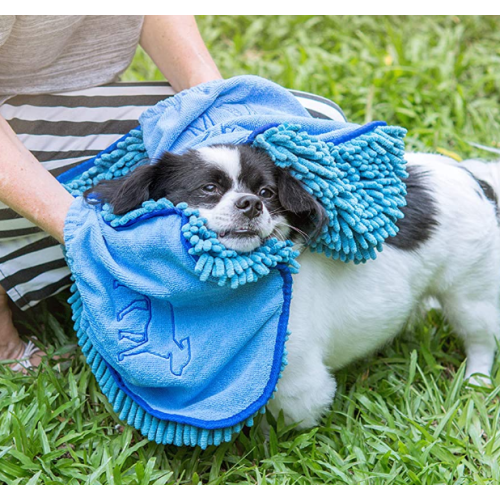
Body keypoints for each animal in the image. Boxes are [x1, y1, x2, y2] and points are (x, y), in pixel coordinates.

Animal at [85, 145, 500, 430]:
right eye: (208, 188)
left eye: (267, 193)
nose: (250, 203)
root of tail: (474, 177)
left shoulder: (298, 380)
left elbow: (283, 424)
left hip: (469, 296)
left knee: (481, 338)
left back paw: (476, 380)